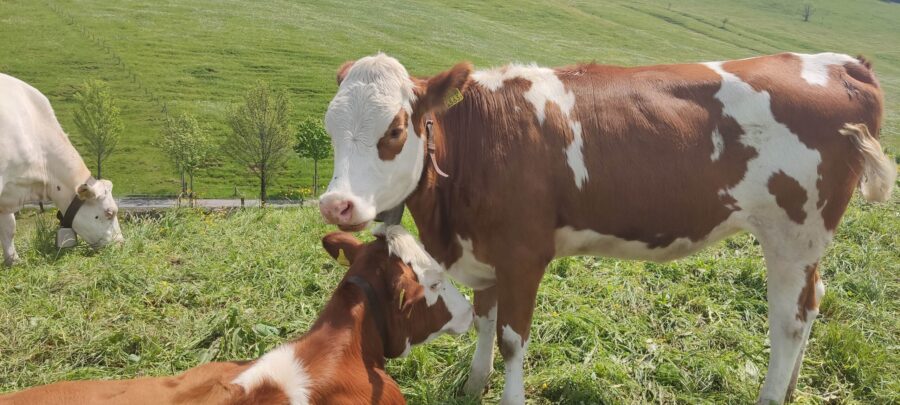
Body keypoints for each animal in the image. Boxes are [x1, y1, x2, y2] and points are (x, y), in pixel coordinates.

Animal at [318, 52, 895, 404]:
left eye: (395, 129)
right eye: (329, 127)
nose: (336, 205)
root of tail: (842, 62)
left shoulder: (523, 254)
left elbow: (511, 338)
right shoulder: (484, 250)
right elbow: (484, 321)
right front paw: (473, 386)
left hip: (793, 232)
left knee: (788, 322)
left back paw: (773, 394)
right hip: (806, 243)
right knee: (814, 303)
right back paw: (792, 387)